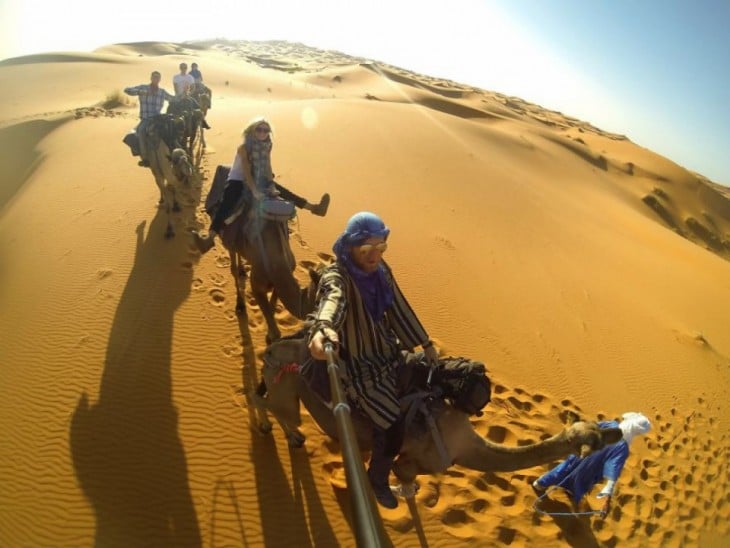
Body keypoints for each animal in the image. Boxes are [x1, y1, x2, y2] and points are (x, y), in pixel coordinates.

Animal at [250, 334, 620, 492]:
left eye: (598, 433)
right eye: (590, 444)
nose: (613, 435)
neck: (464, 444)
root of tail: (270, 349)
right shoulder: (411, 462)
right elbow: (404, 484)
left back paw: (293, 438)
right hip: (285, 385)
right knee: (263, 401)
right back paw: (269, 429)